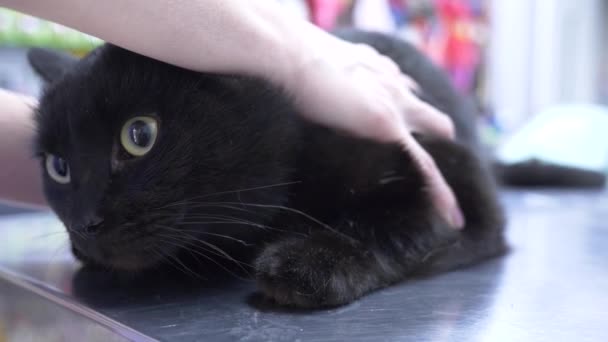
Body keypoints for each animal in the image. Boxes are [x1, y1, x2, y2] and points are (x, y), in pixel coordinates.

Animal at [28, 30, 506, 308]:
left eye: (139, 135)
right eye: (59, 167)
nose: (85, 224)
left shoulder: (446, 179)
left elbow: (394, 225)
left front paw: (312, 262)